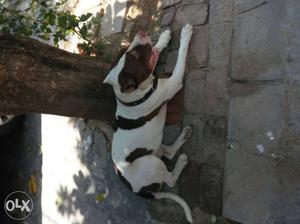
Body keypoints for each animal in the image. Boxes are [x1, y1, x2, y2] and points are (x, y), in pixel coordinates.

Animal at [103, 23, 195, 223]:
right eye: (133, 56)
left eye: (127, 52)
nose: (140, 32)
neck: (134, 98)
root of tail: (140, 192)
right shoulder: (174, 82)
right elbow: (180, 59)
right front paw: (185, 35)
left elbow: (156, 50)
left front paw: (164, 37)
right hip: (151, 164)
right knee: (170, 179)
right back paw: (181, 162)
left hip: (155, 149)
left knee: (168, 152)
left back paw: (184, 136)